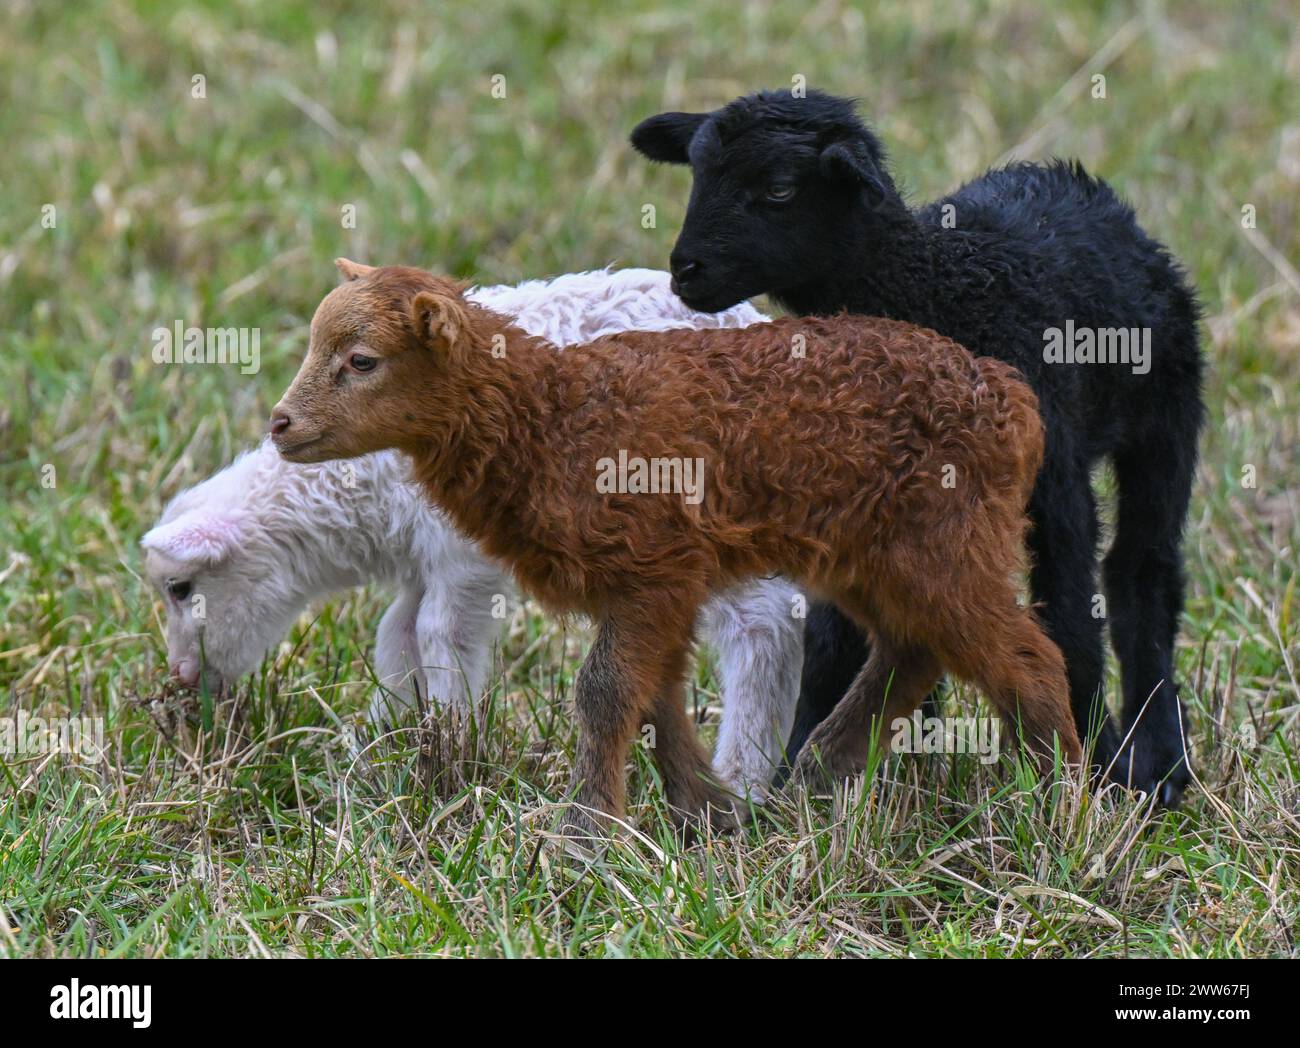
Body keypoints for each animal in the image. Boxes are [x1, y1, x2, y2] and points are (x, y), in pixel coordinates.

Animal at [137, 266, 795, 800]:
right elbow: (395, 635)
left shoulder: (461, 556)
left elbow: (438, 633)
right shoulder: (422, 557)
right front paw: (387, 740)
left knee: (764, 627)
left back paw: (744, 776)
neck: (360, 489)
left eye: (180, 588)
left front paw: (450, 750)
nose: (182, 680)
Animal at [271, 258, 1076, 842]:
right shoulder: (657, 584)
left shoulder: (652, 568)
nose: (280, 424)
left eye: (362, 360)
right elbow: (653, 696)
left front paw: (585, 835)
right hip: (878, 552)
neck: (551, 418)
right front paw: (707, 813)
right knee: (912, 651)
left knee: (1026, 658)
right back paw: (817, 776)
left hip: (944, 541)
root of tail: (1012, 398)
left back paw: (1063, 809)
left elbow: (603, 692)